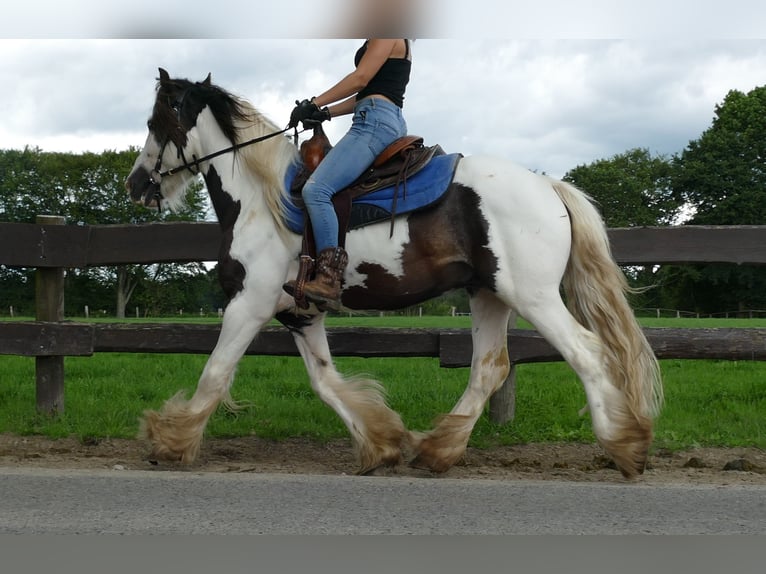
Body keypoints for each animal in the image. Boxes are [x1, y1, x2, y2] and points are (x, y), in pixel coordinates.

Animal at [127, 68, 664, 482]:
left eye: (155, 121)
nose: (136, 184)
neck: (264, 200)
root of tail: (549, 186)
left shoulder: (248, 303)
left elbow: (215, 373)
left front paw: (169, 442)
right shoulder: (302, 314)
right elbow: (325, 381)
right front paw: (381, 444)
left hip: (532, 296)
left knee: (587, 354)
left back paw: (626, 447)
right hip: (488, 294)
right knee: (490, 367)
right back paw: (437, 450)